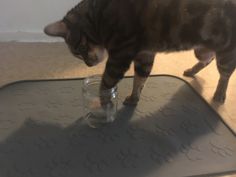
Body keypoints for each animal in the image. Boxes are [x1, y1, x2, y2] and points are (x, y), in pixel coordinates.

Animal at [44, 0, 236, 105]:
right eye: (78, 54)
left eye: (80, 50)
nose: (89, 64)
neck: (98, 17)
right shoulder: (144, 54)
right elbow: (140, 79)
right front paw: (133, 98)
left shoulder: (120, 55)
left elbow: (106, 83)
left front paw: (104, 103)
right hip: (201, 50)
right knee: (208, 58)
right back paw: (192, 70)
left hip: (226, 52)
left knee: (225, 74)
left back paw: (220, 94)